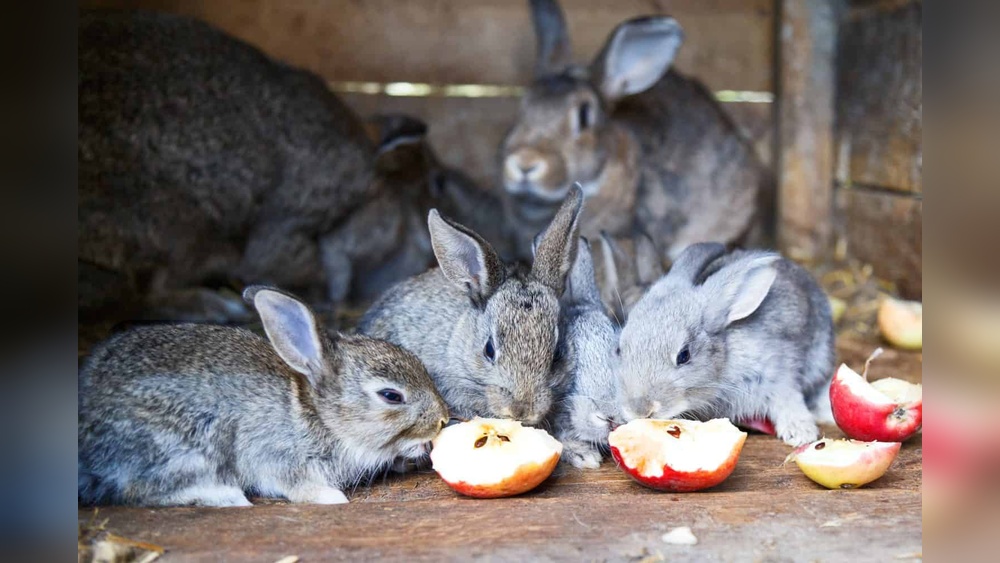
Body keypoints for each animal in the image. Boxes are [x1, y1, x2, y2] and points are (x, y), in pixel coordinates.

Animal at [78, 285, 449, 507]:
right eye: (391, 396)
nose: (442, 419)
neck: (318, 414)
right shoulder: (274, 455)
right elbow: (295, 482)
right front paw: (331, 496)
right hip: (180, 446)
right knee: (138, 488)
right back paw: (227, 496)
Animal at [615, 243, 836, 447]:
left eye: (684, 355)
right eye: (620, 349)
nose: (639, 409)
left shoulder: (777, 375)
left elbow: (788, 399)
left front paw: (800, 434)